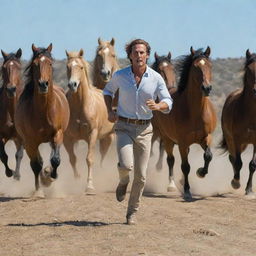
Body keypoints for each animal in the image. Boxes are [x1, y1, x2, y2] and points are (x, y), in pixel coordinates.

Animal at [14, 44, 69, 196]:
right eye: (35, 64)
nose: (43, 84)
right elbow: (36, 164)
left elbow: (55, 159)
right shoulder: (30, 141)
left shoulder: (58, 134)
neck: (44, 111)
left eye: (50, 63)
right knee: (38, 161)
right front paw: (39, 189)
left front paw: (52, 175)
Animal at [64, 49, 115, 194]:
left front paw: (90, 186)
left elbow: (89, 159)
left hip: (109, 137)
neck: (81, 106)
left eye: (81, 67)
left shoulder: (92, 134)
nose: (72, 85)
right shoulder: (67, 138)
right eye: (68, 67)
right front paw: (76, 180)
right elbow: (72, 159)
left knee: (103, 156)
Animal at [153, 47, 217, 200]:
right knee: (171, 160)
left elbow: (208, 156)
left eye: (209, 65)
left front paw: (201, 172)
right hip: (168, 139)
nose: (207, 88)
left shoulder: (206, 137)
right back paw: (172, 185)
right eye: (196, 67)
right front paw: (187, 191)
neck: (195, 112)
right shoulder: (181, 142)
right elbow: (185, 166)